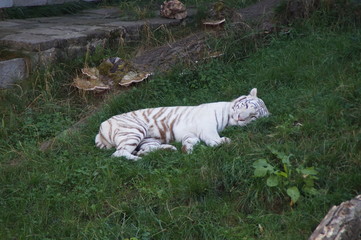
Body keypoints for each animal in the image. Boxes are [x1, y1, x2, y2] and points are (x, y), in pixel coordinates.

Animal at [94, 87, 268, 160]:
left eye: (253, 116)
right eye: (245, 106)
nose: (240, 118)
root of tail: (100, 130)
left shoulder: (188, 133)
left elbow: (192, 140)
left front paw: (187, 149)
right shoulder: (206, 123)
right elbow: (212, 136)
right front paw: (222, 141)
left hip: (148, 139)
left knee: (142, 150)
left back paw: (168, 149)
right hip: (133, 131)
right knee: (118, 154)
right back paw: (139, 160)